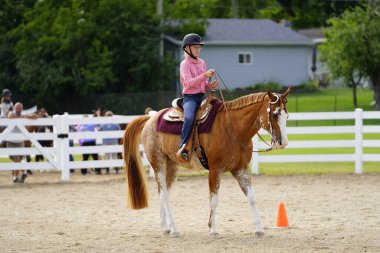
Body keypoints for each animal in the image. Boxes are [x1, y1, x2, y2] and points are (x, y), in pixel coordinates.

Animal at [121, 87, 290, 237]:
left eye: (286, 116)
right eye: (274, 114)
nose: (283, 143)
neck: (232, 128)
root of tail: (150, 118)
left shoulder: (240, 169)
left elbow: (252, 198)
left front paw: (259, 229)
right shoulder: (215, 170)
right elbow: (214, 200)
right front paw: (213, 229)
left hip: (172, 166)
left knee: (164, 192)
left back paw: (166, 227)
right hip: (158, 164)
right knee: (163, 194)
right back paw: (174, 229)